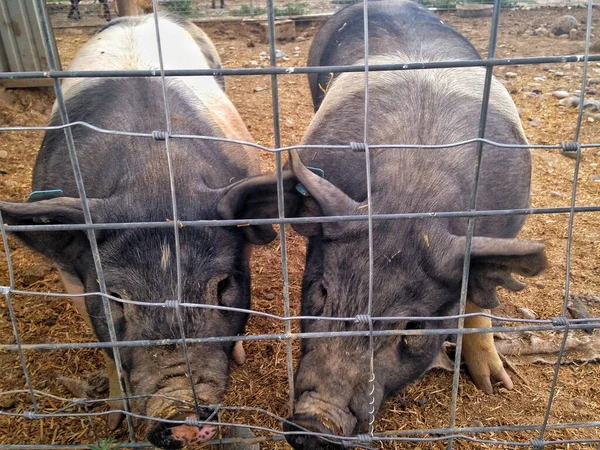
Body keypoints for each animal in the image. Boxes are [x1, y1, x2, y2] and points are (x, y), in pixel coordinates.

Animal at [0, 12, 266, 448]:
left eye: (223, 286)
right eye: (115, 296)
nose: (181, 413)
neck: (154, 179)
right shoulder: (71, 274)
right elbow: (106, 344)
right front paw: (113, 421)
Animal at [219, 1, 548, 448]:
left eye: (414, 326)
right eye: (321, 292)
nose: (315, 422)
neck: (414, 191)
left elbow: (479, 301)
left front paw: (495, 386)